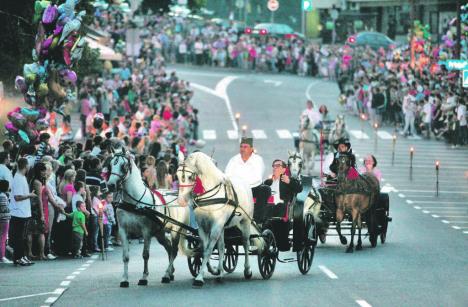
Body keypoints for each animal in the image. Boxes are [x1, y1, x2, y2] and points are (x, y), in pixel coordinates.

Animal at [107, 144, 192, 288]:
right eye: (111, 164)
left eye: (124, 166)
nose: (110, 185)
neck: (135, 202)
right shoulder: (123, 230)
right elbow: (125, 256)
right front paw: (124, 279)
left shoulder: (145, 231)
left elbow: (145, 255)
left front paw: (144, 277)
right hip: (160, 232)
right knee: (169, 247)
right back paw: (170, 272)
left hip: (176, 230)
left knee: (173, 250)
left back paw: (166, 275)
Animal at [177, 152, 262, 288]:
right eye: (177, 176)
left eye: (190, 176)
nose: (181, 201)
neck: (209, 195)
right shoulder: (203, 227)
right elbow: (206, 248)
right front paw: (212, 271)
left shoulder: (216, 225)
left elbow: (208, 250)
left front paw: (199, 278)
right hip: (222, 227)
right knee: (222, 247)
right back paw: (220, 273)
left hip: (245, 222)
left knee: (245, 243)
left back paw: (247, 270)